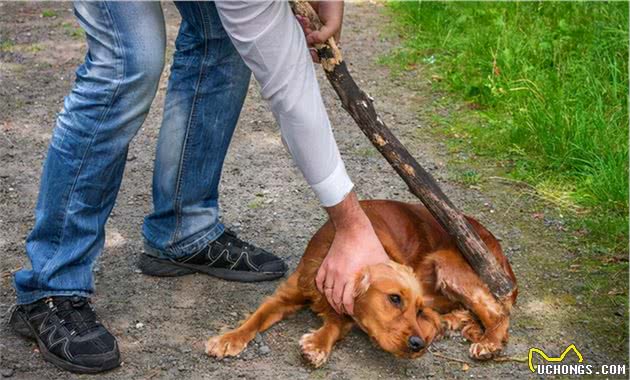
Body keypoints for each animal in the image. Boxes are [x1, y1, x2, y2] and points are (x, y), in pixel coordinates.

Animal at [207, 200, 520, 366]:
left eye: (417, 310)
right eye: (394, 299)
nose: (418, 344)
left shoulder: (345, 310)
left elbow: (334, 326)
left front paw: (316, 345)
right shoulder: (286, 294)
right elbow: (256, 318)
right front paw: (228, 339)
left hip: (447, 263)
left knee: (497, 311)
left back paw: (489, 342)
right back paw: (457, 323)